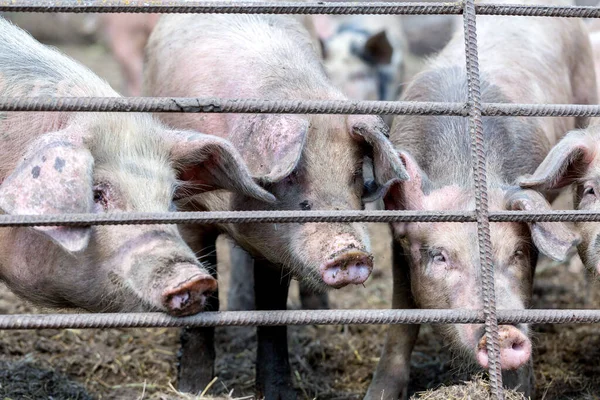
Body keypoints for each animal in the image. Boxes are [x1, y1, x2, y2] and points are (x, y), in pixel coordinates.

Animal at [145, 11, 408, 396]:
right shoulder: (190, 211)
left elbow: (272, 311)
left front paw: (277, 392)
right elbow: (202, 298)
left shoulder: (275, 247)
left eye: (355, 176)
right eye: (290, 176)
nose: (350, 252)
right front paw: (194, 390)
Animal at [366, 1, 596, 398]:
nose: (503, 332)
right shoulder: (398, 239)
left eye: (517, 253)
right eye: (440, 257)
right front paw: (378, 393)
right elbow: (402, 315)